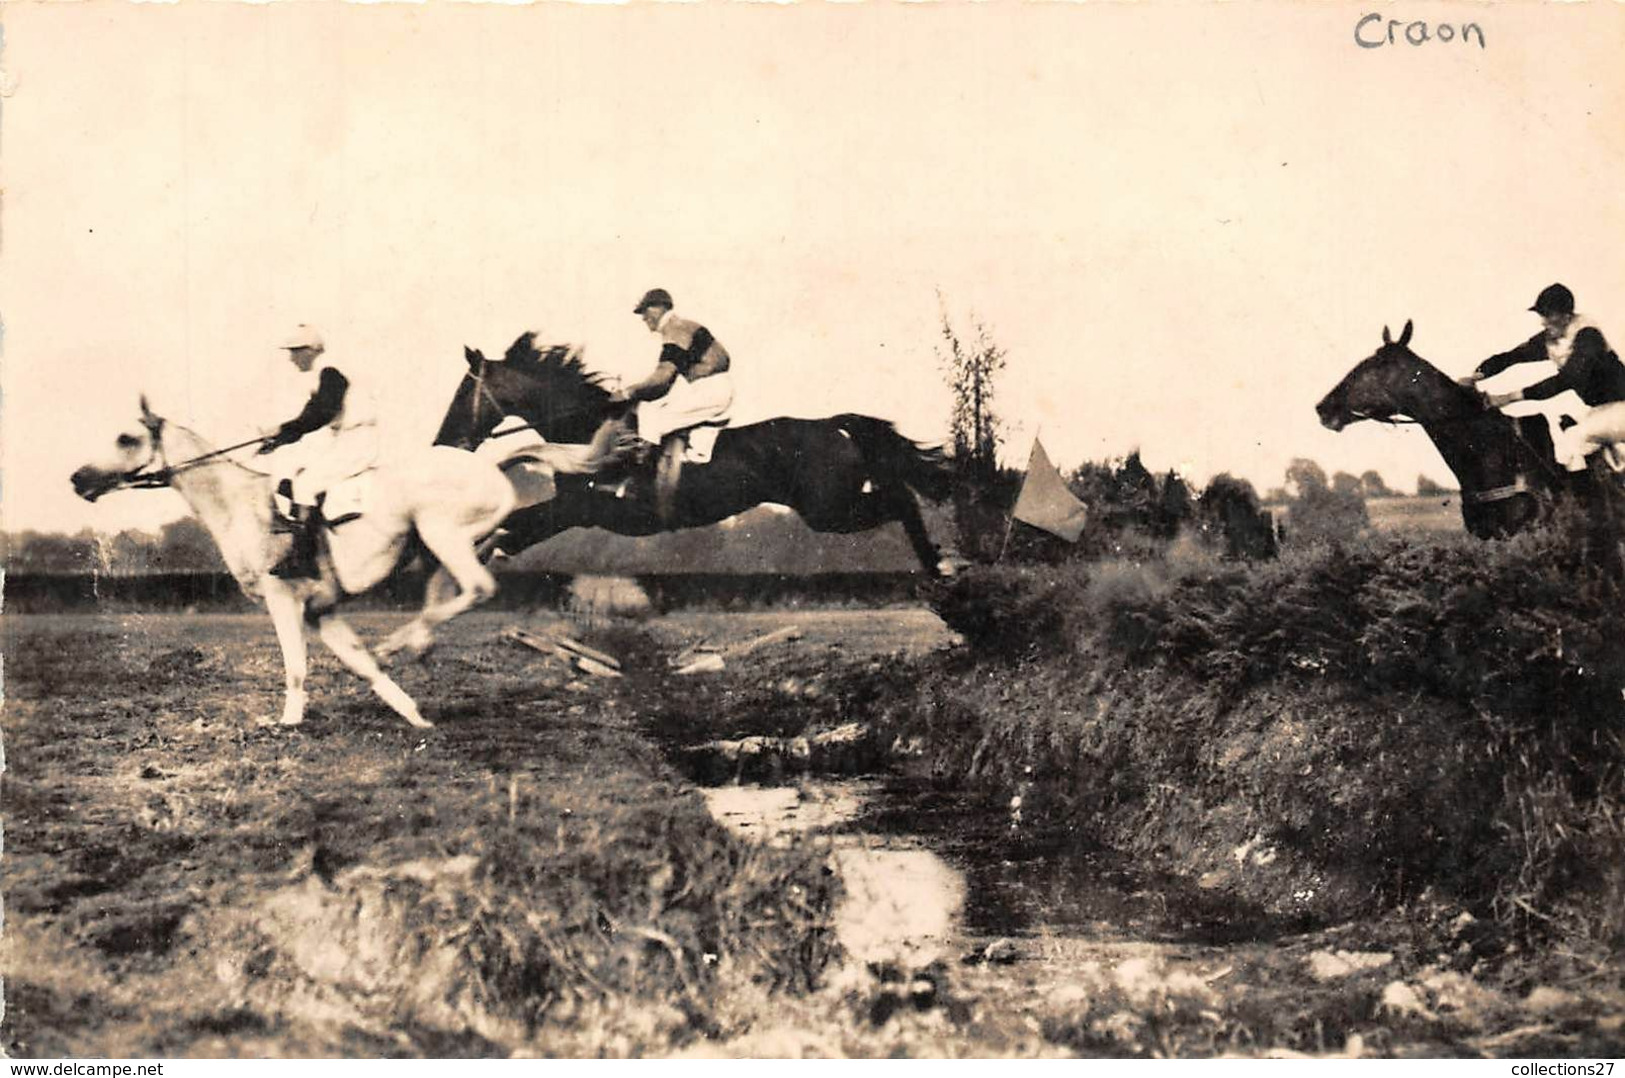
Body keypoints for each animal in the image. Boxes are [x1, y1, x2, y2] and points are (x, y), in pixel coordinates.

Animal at [68, 398, 513, 734]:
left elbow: (296, 665)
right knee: (446, 599)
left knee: (480, 589)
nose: (77, 479)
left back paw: (398, 641)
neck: (240, 506)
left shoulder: (282, 597)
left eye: (126, 438)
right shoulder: (322, 610)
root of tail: (498, 476)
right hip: (437, 553)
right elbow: (362, 665)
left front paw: (288, 721)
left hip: (443, 534)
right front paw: (415, 716)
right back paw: (413, 644)